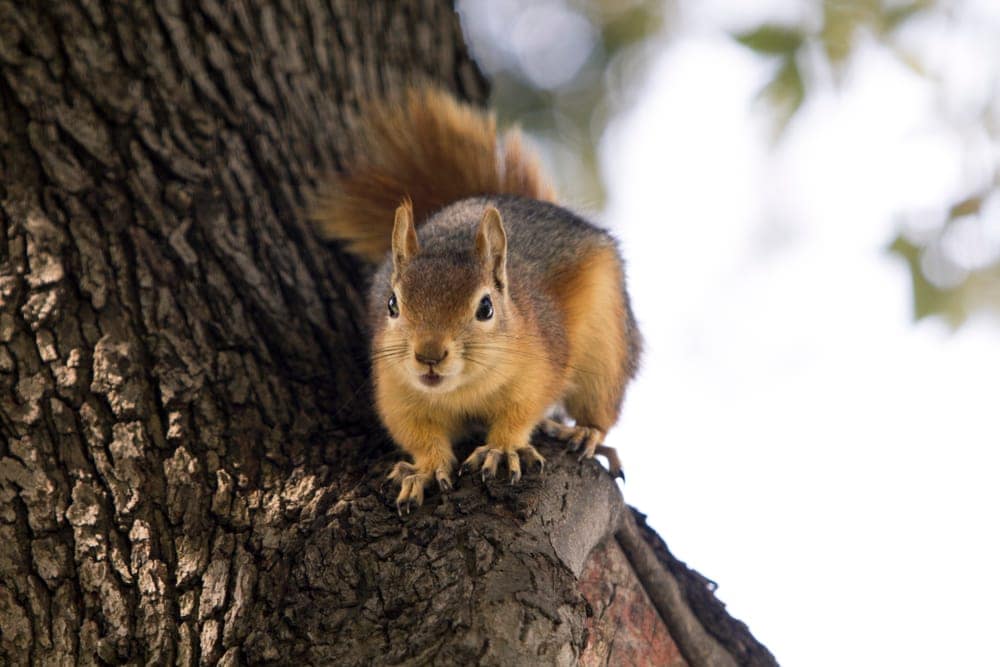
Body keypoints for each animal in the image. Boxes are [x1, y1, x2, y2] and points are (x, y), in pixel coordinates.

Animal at [312, 87, 641, 513]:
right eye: (391, 304)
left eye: (485, 307)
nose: (429, 355)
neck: (461, 391)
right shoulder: (396, 391)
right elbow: (416, 433)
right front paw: (425, 469)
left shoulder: (540, 364)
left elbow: (522, 411)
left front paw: (503, 449)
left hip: (607, 342)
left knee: (601, 403)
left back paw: (586, 433)